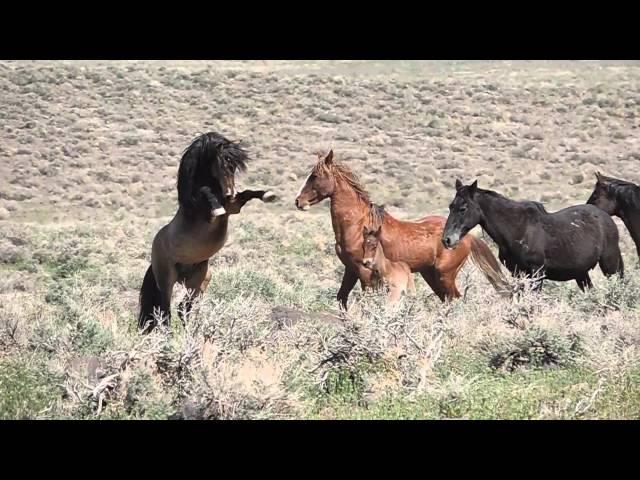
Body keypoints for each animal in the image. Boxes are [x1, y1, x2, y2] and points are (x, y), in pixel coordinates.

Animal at [139, 133, 276, 332]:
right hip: (166, 279)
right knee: (165, 312)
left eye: (235, 166)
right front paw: (216, 207)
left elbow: (248, 193)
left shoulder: (234, 206)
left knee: (183, 308)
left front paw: (268, 195)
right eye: (223, 163)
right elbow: (206, 193)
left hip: (199, 279)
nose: (229, 192)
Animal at [292, 150, 508, 308]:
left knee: (454, 299)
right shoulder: (350, 270)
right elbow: (341, 298)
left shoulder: (364, 272)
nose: (298, 201)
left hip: (445, 275)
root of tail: (468, 237)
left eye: (315, 176)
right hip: (430, 275)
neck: (357, 224)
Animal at [442, 180, 624, 290]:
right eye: (450, 206)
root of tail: (607, 217)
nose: (447, 240)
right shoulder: (517, 273)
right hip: (581, 273)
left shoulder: (536, 273)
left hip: (610, 265)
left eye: (463, 208)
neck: (517, 228)